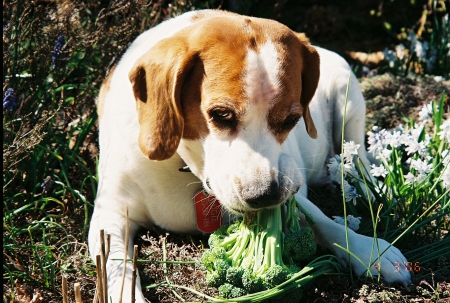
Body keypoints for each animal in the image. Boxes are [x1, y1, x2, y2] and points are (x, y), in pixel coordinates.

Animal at [89, 8, 414, 302]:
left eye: (291, 119)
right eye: (221, 115)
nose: (265, 194)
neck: (184, 165)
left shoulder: (290, 189)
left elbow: (320, 219)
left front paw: (367, 250)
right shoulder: (110, 214)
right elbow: (115, 264)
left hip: (348, 101)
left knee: (358, 161)